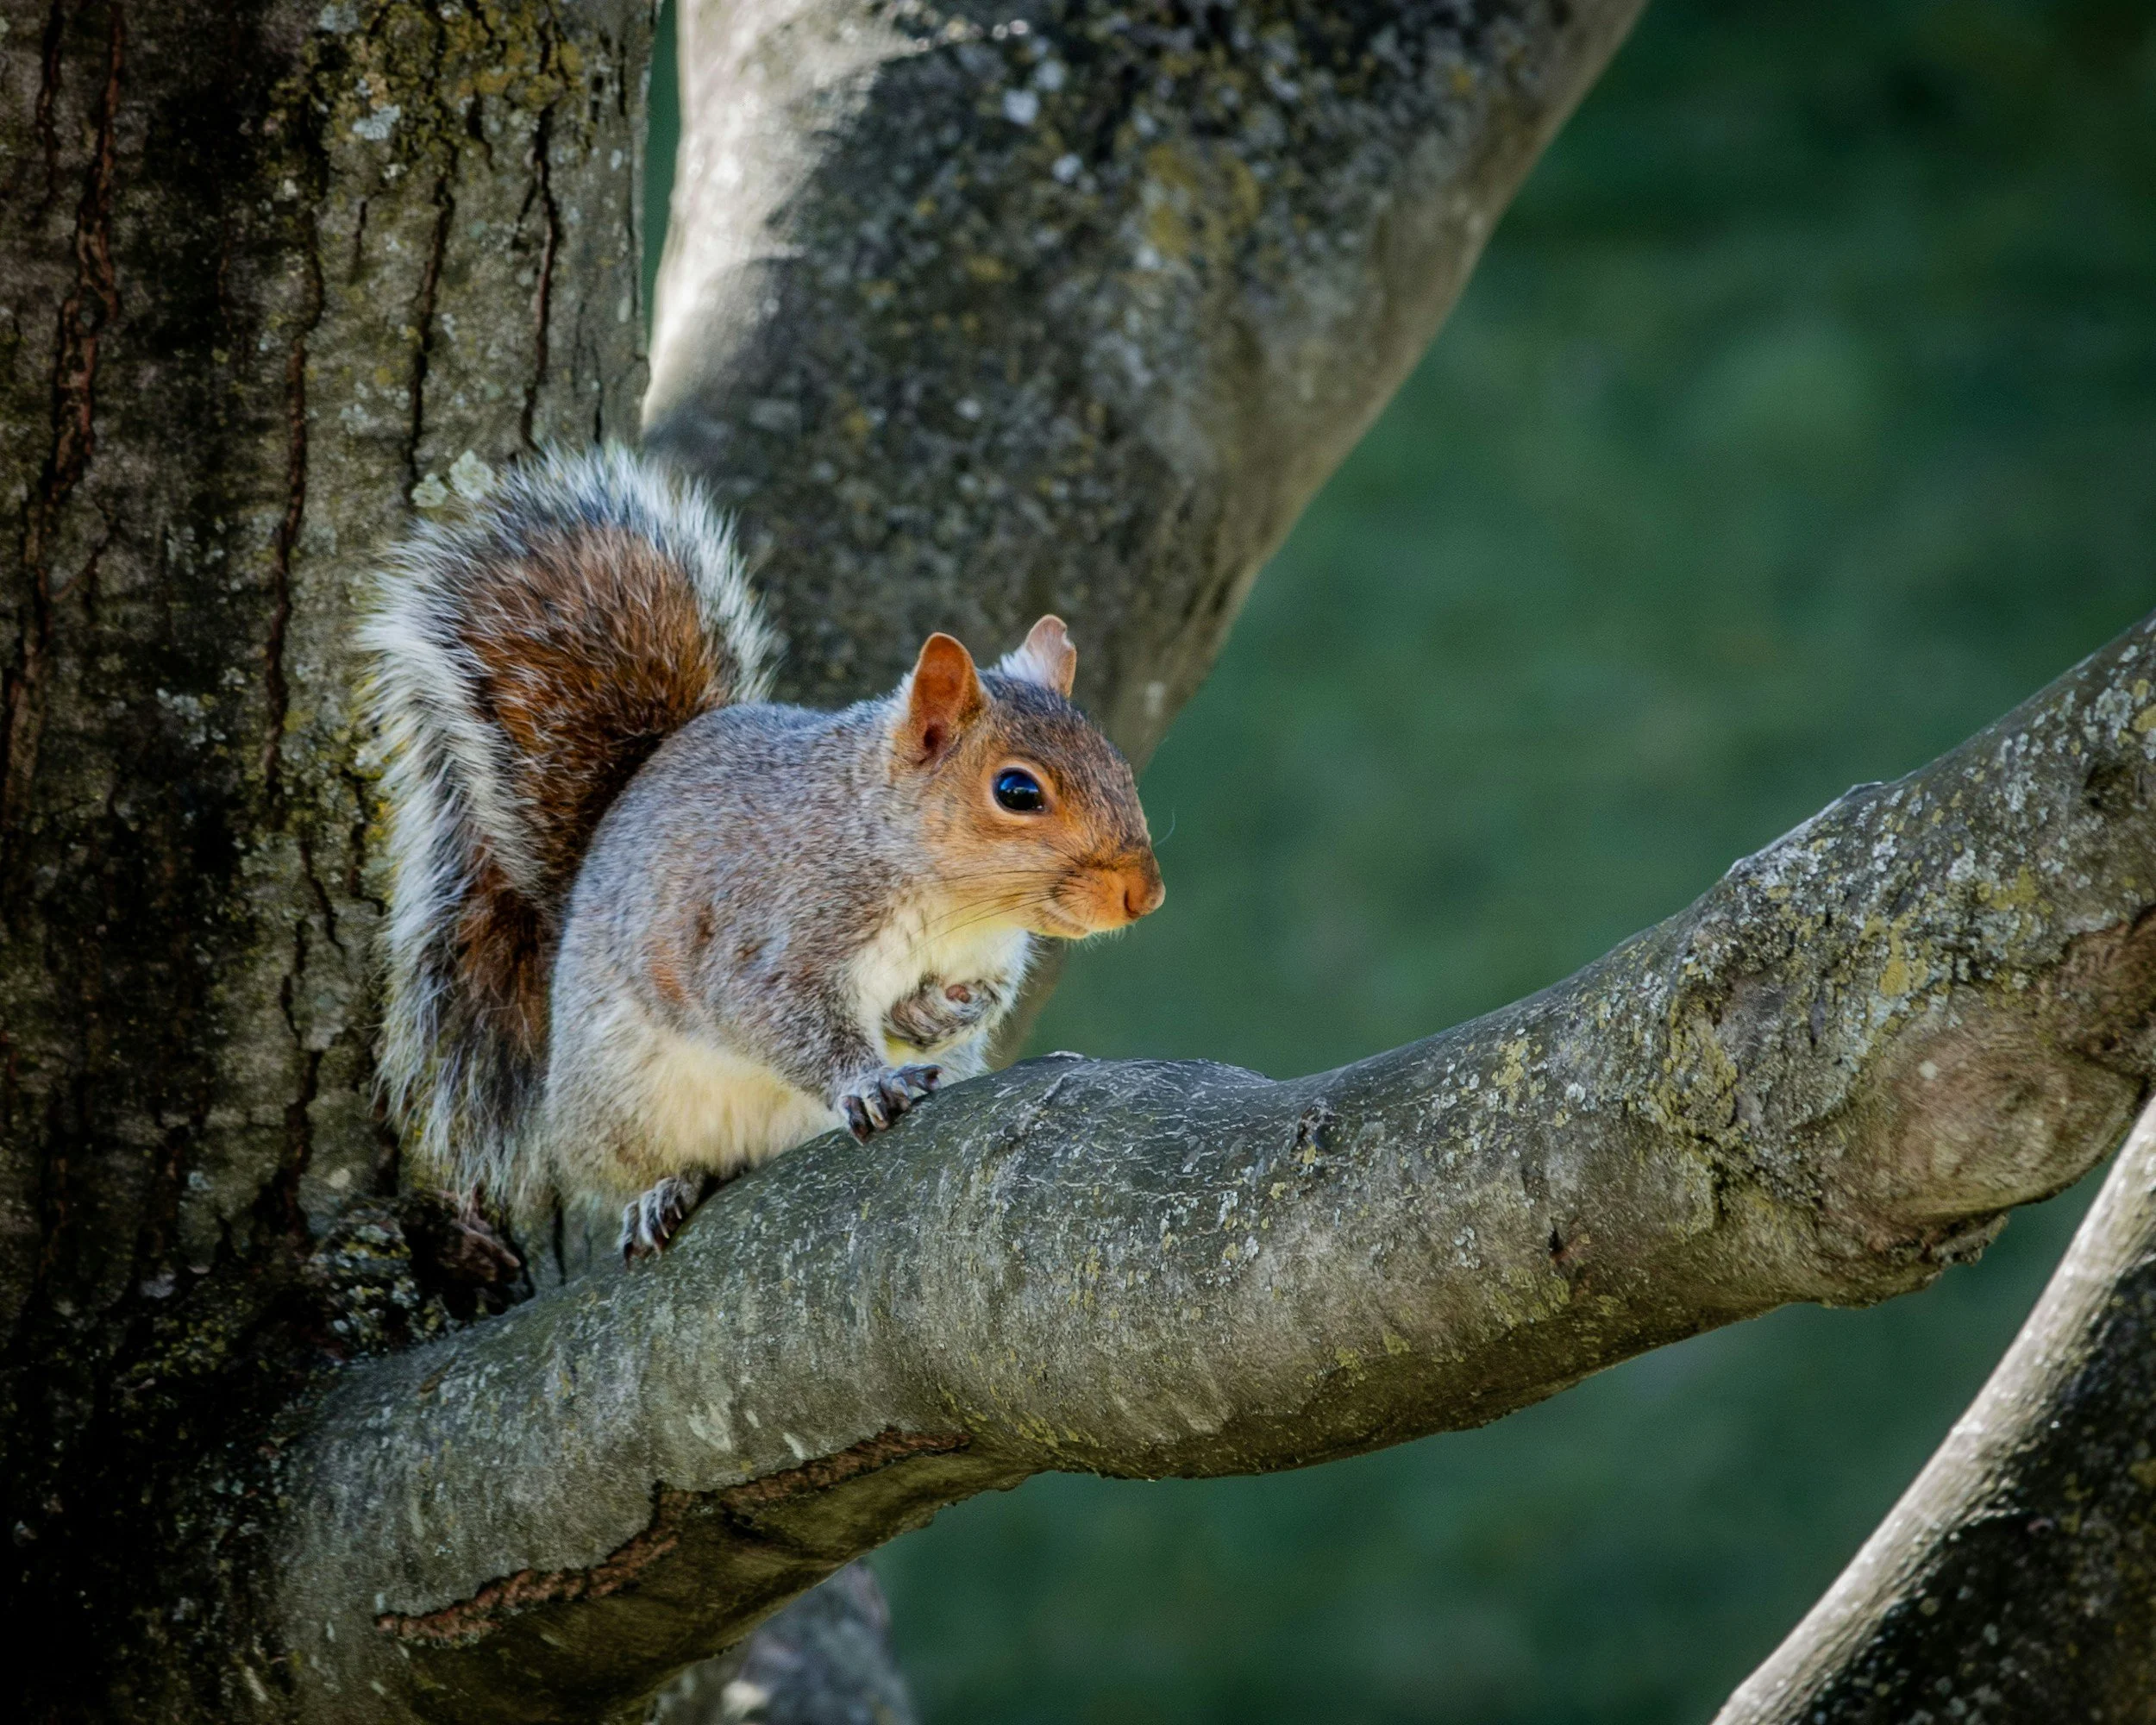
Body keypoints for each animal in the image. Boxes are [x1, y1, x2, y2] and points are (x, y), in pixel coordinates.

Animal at [365, 446, 1164, 1259]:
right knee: (628, 1169)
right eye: (1017, 791)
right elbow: (778, 1014)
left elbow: (982, 1000)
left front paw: (934, 1016)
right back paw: (659, 1192)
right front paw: (871, 1081)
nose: (1144, 894)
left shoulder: (992, 956)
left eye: (1117, 764)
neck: (950, 902)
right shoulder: (770, 934)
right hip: (619, 1100)